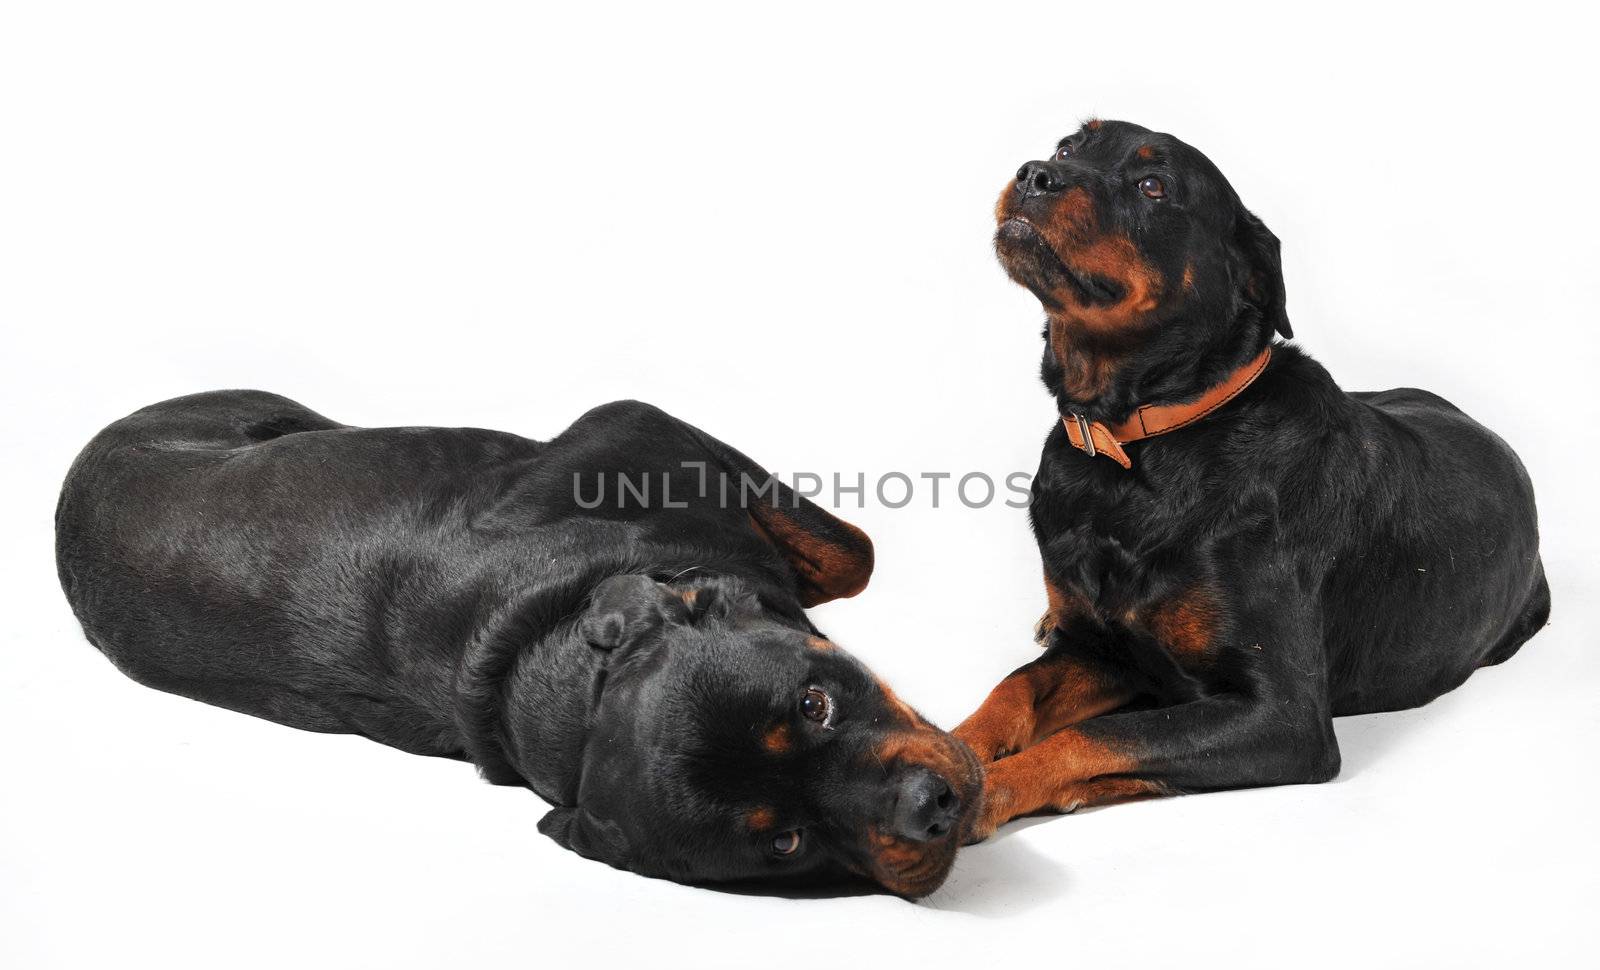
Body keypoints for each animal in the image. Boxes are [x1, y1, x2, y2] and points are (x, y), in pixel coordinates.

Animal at [56, 393, 979, 896]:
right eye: (787, 843)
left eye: (814, 703)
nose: (933, 809)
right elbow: (852, 551)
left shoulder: (637, 428)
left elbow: (851, 551)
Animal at [947, 121, 1548, 845]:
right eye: (1068, 147)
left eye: (1154, 185)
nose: (1036, 173)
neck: (1138, 444)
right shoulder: (1099, 647)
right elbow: (1010, 691)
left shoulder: (1284, 717)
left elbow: (1104, 734)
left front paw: (976, 794)